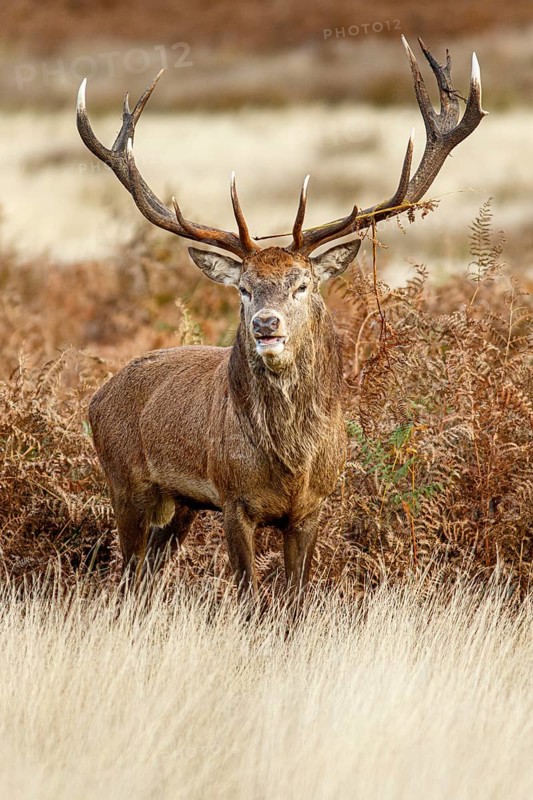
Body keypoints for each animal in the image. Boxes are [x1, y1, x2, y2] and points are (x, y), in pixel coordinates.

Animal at [77, 37, 486, 602]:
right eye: (244, 289)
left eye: (303, 284)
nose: (266, 325)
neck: (290, 465)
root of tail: (97, 397)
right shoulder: (232, 500)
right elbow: (249, 595)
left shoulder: (312, 507)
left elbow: (295, 598)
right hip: (126, 482)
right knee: (127, 573)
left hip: (178, 504)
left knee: (148, 572)